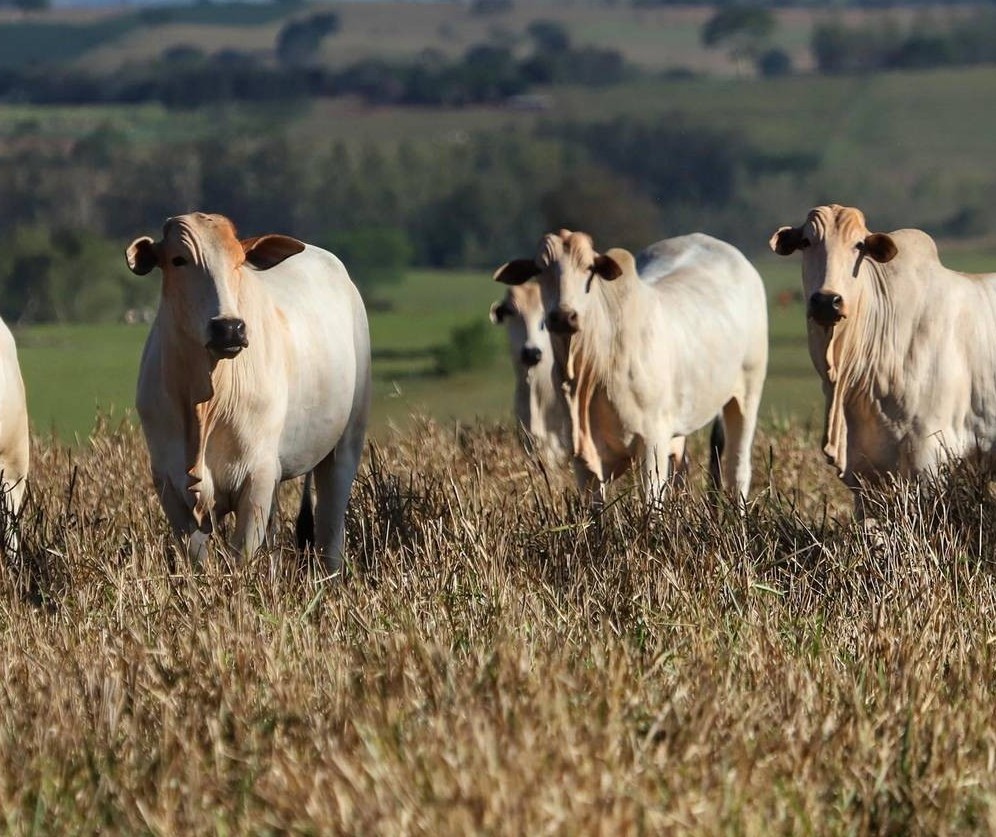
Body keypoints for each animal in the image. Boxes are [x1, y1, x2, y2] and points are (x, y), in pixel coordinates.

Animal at [128, 212, 370, 572]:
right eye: (178, 259)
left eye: (239, 261)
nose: (228, 328)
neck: (206, 400)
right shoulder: (169, 484)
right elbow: (197, 560)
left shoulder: (257, 477)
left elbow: (242, 555)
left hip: (345, 445)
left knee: (330, 531)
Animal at [494, 225, 768, 506]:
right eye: (540, 270)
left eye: (589, 268)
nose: (563, 316)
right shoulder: (581, 454)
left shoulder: (652, 442)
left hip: (747, 393)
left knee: (738, 469)